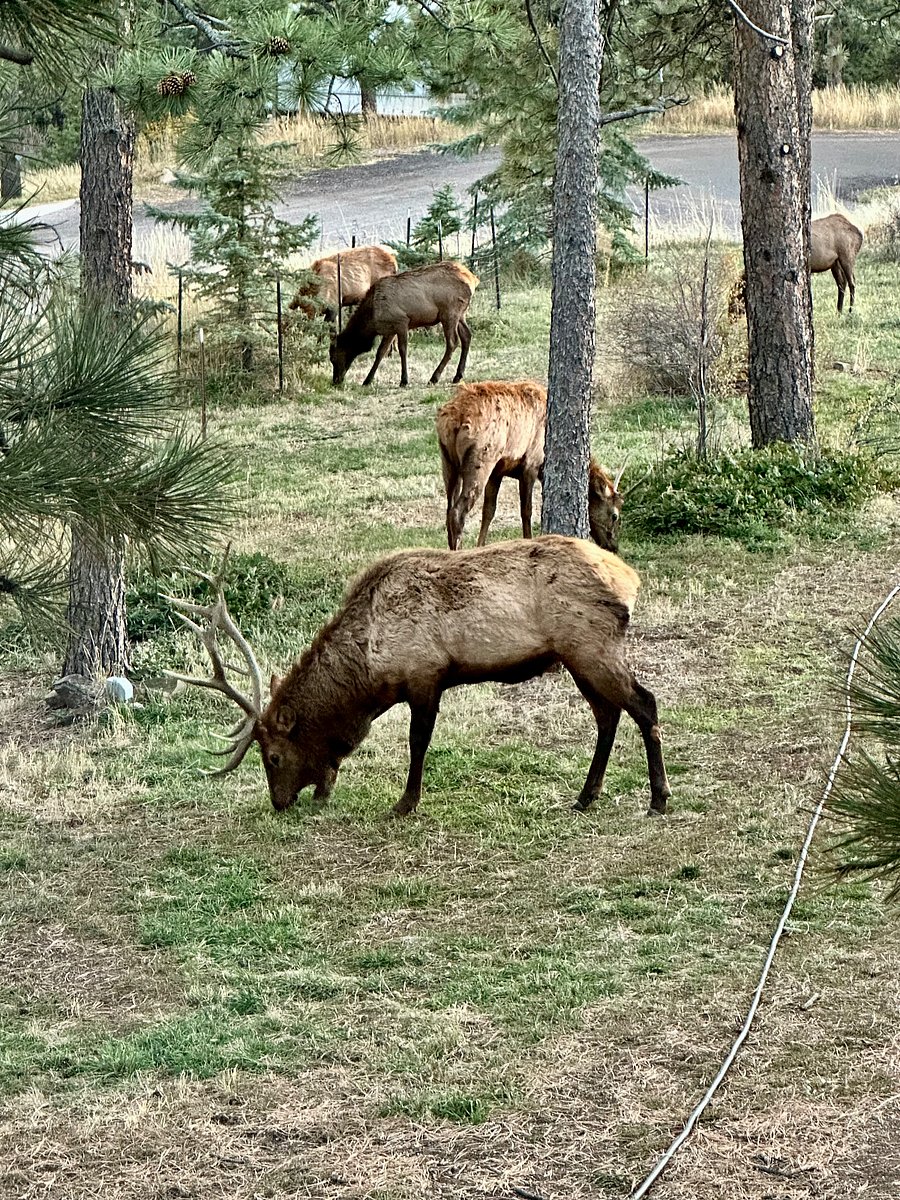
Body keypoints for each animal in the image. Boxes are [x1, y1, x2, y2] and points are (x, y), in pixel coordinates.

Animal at [167, 541, 671, 819]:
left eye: (272, 756)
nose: (280, 802)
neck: (371, 670)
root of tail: (630, 578)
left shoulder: (425, 675)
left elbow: (418, 742)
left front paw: (404, 803)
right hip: (576, 656)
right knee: (608, 715)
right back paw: (586, 796)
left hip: (590, 646)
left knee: (644, 702)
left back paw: (659, 798)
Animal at [329, 261, 478, 388]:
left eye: (334, 358)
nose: (336, 381)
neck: (372, 319)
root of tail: (473, 279)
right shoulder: (389, 330)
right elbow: (380, 352)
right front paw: (367, 380)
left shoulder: (402, 322)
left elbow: (402, 350)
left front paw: (404, 380)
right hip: (461, 314)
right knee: (467, 336)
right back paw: (458, 376)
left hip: (448, 313)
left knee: (453, 342)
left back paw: (434, 378)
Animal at [437, 380, 626, 551]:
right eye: (614, 515)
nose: (613, 547)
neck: (543, 468)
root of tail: (454, 420)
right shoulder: (531, 464)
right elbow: (526, 511)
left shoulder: (497, 472)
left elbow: (489, 511)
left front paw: (480, 546)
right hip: (481, 459)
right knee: (457, 512)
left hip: (448, 462)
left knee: (448, 509)